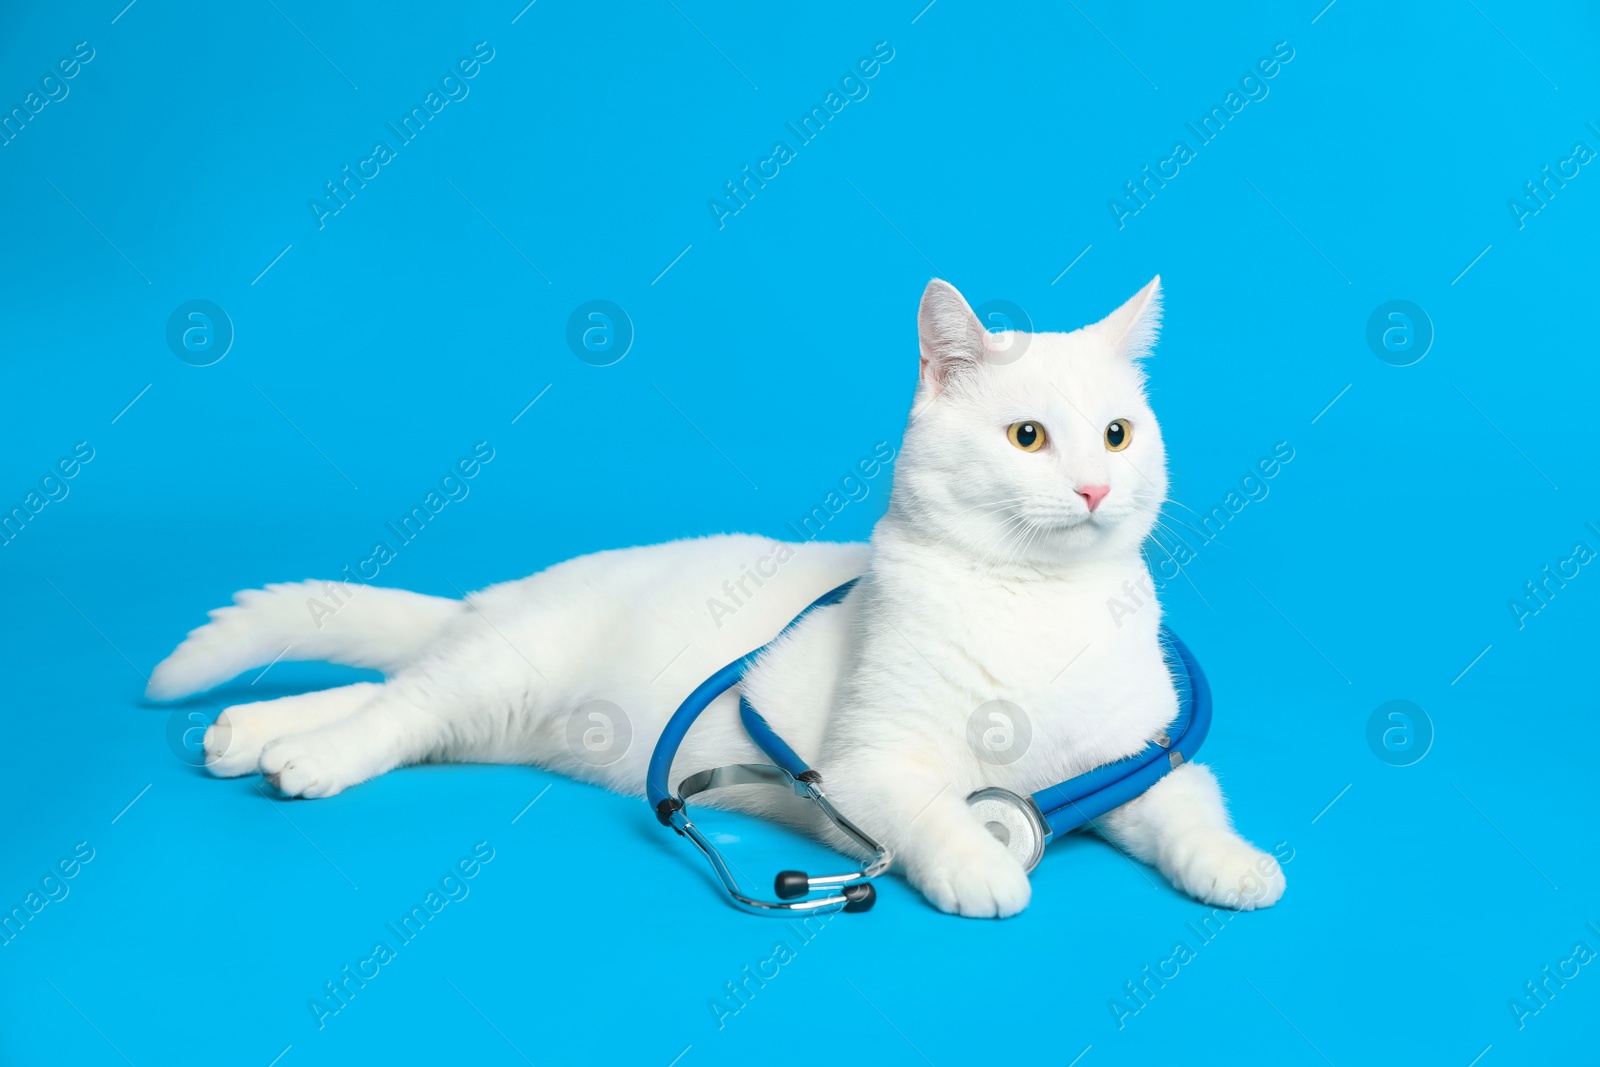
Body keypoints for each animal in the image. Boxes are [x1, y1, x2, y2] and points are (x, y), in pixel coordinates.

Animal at [150, 275, 1286, 921]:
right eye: (1027, 437)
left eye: (1116, 436)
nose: (1094, 488)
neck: (1036, 603)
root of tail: (508, 591)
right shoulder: (868, 769)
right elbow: (937, 812)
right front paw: (982, 865)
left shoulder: (1140, 760)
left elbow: (1189, 810)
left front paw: (1235, 865)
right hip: (499, 673)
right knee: (395, 705)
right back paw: (302, 758)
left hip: (495, 714)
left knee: (391, 694)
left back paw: (250, 736)